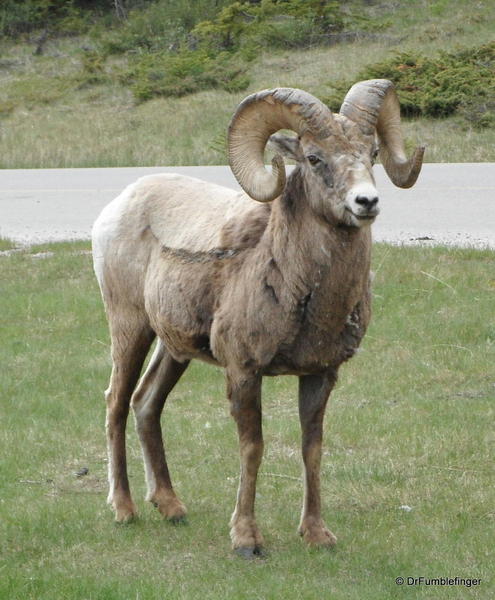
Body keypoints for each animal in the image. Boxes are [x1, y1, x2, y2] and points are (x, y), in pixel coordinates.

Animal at [94, 79, 426, 556]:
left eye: (373, 153)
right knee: (117, 403)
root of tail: (119, 205)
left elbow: (312, 449)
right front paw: (247, 540)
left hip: (174, 349)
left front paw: (317, 534)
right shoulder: (244, 372)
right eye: (314, 158)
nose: (366, 202)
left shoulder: (320, 375)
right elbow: (253, 448)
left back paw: (171, 507)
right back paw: (124, 509)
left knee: (146, 403)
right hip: (130, 328)